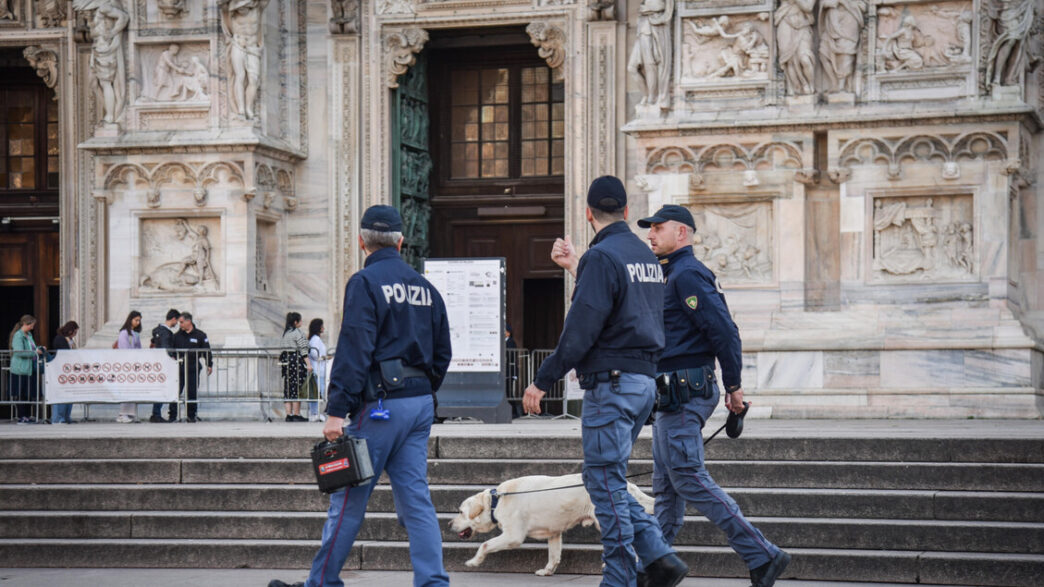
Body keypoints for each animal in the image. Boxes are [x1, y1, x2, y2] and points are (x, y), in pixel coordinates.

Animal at [448, 470, 651, 572]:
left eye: (460, 512)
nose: (449, 524)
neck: (496, 501)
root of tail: (628, 484)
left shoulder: (513, 536)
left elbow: (484, 545)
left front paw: (474, 562)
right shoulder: (554, 532)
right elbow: (554, 555)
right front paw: (547, 570)